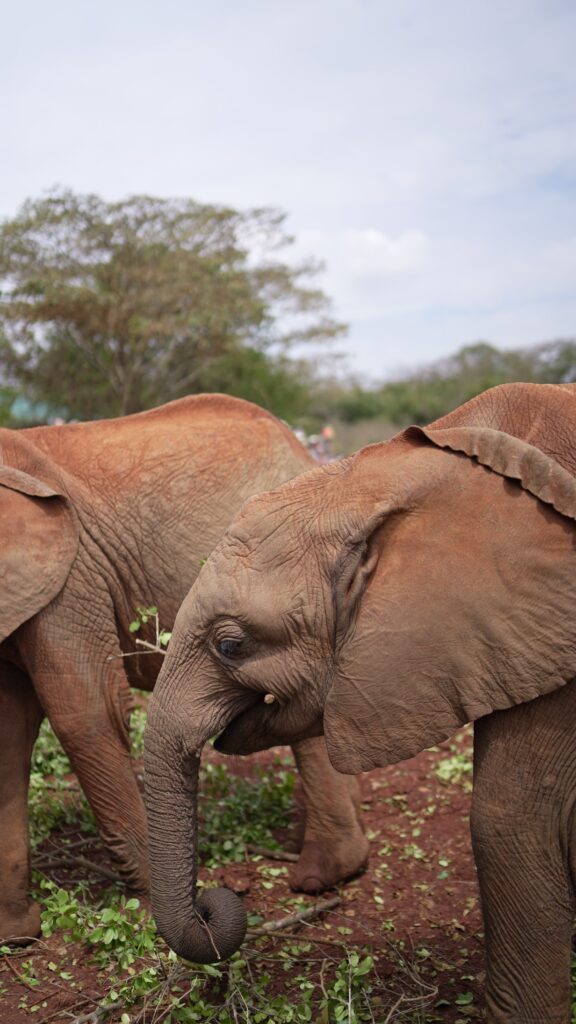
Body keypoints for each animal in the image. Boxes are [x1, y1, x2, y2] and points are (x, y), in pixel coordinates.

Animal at [0, 393, 369, 945]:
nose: (211, 905)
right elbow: (9, 734)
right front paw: (15, 935)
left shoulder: (71, 577)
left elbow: (87, 714)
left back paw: (321, 876)